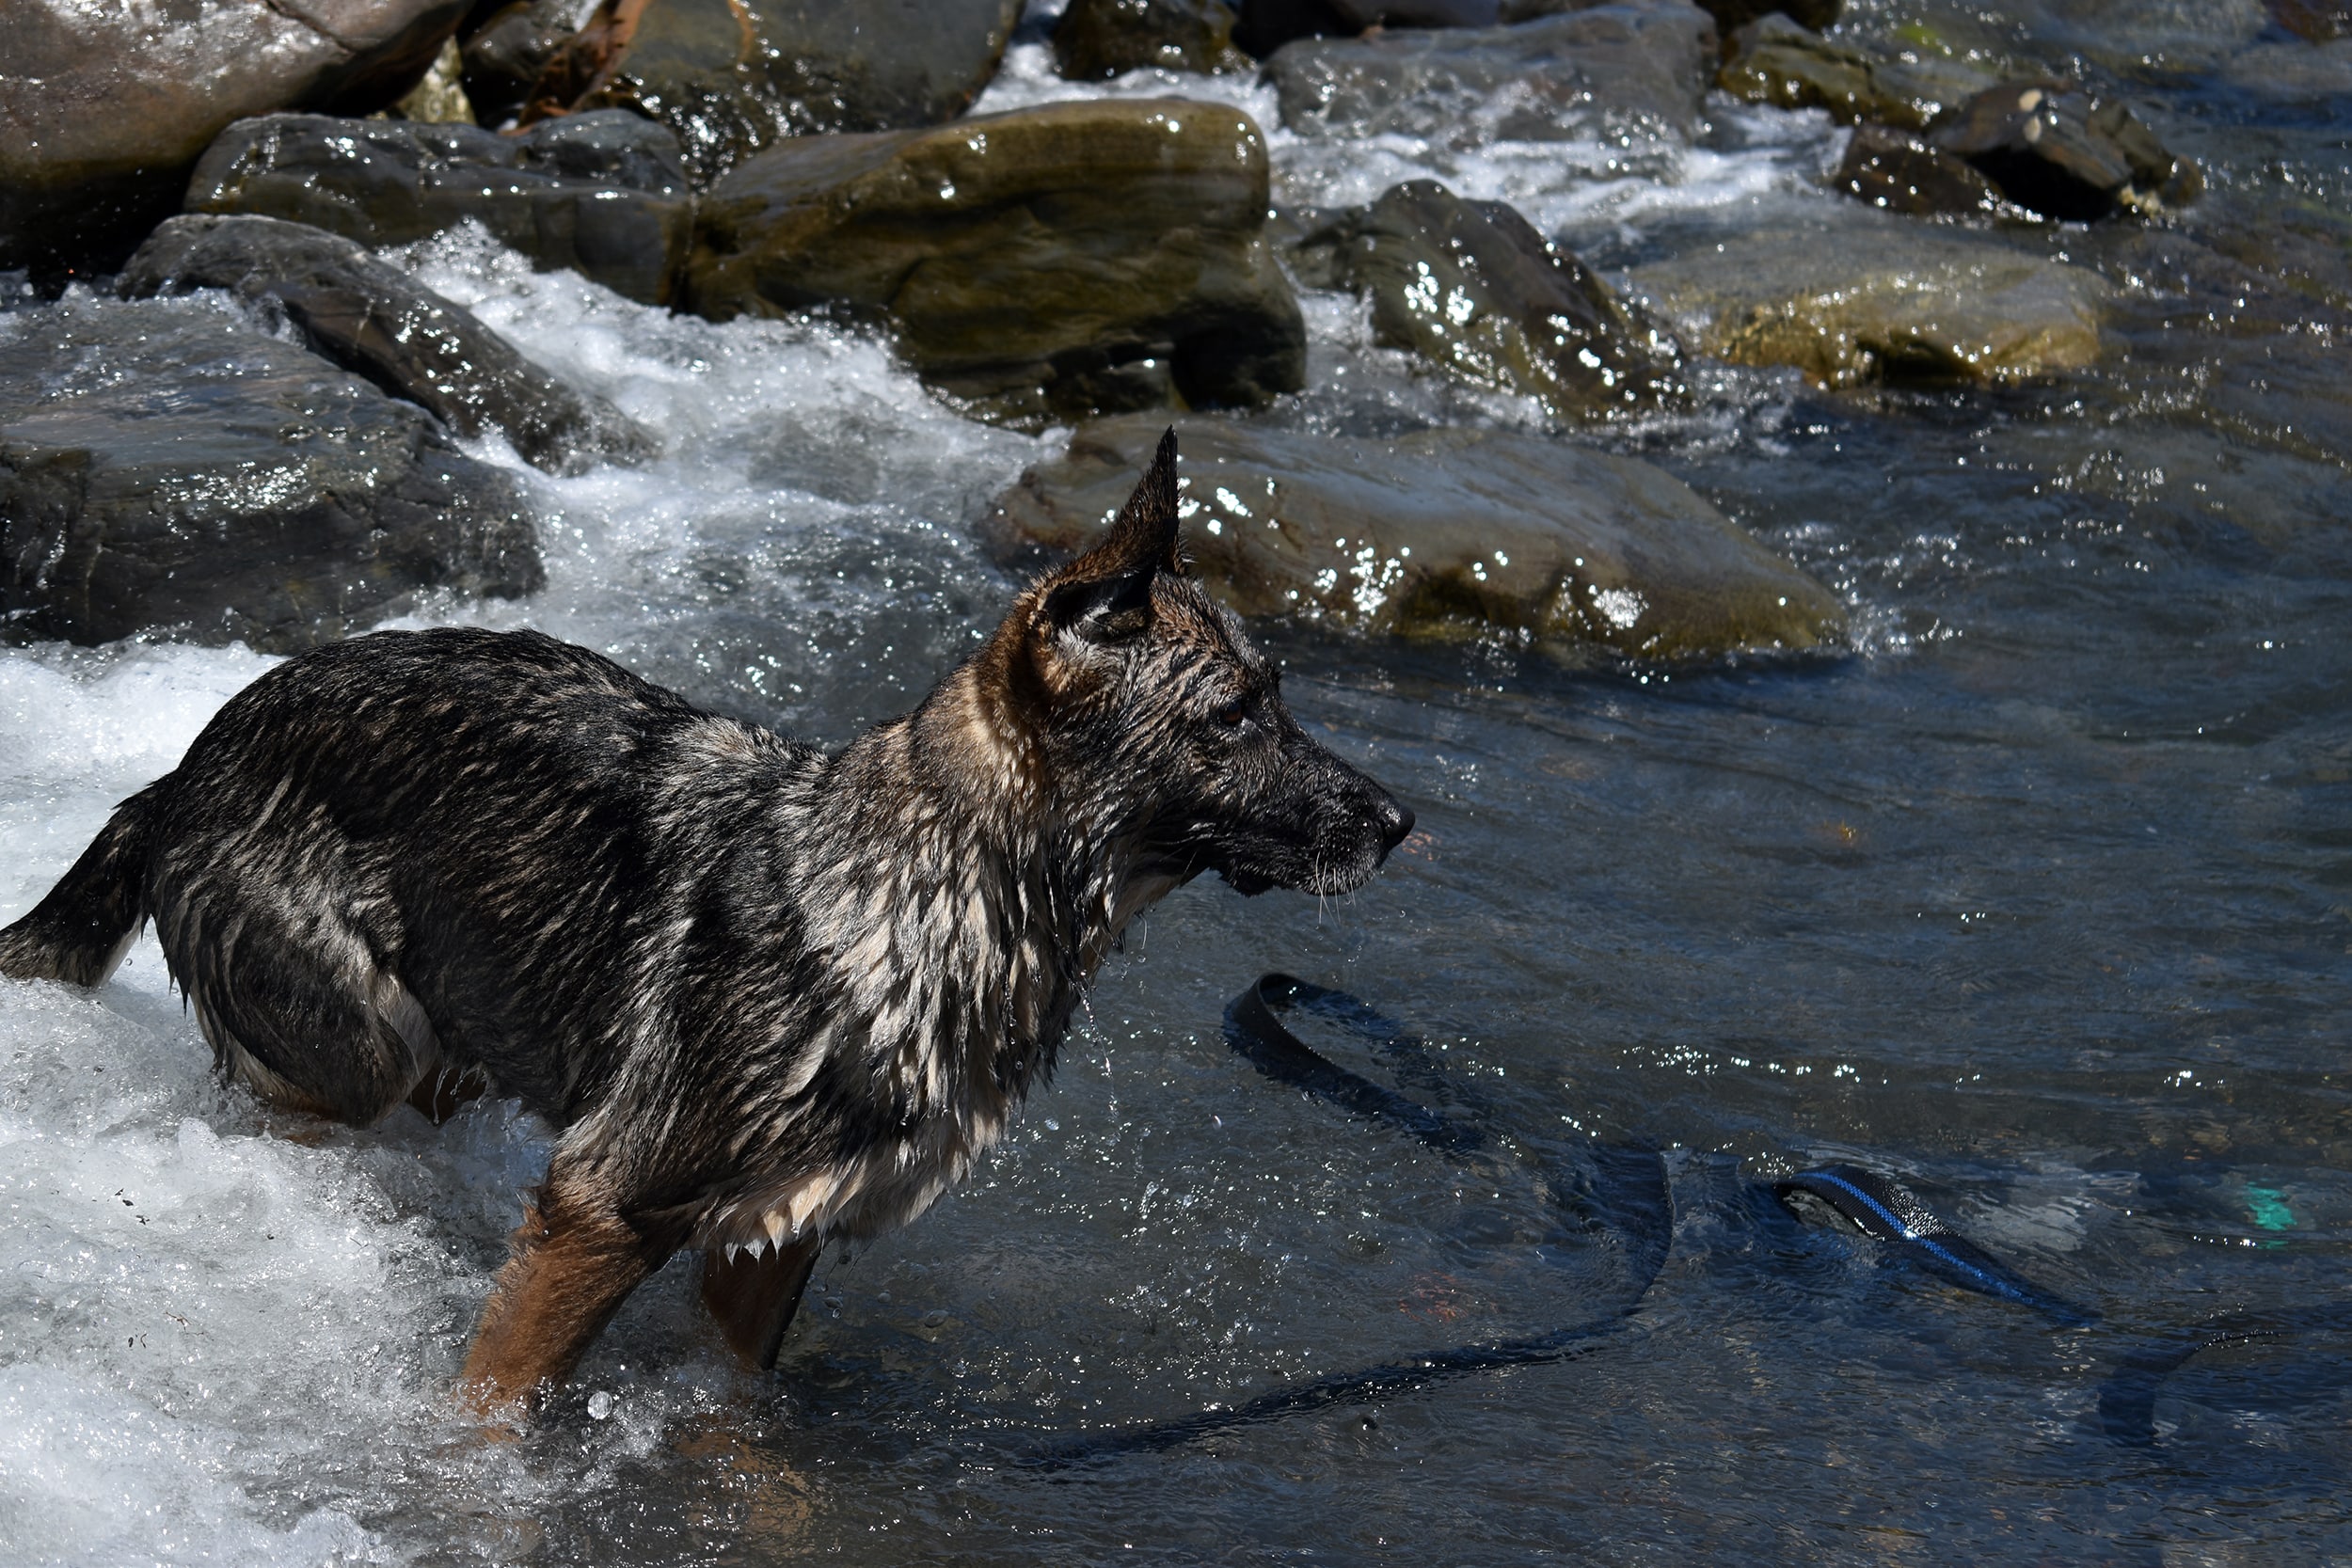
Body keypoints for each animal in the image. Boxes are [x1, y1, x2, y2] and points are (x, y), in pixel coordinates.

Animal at [0, 435, 1411, 1419]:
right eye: (1233, 714)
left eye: (1276, 697)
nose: (1399, 823)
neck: (920, 885)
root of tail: (186, 763)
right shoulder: (599, 1211)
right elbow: (490, 1413)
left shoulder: (770, 1241)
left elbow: (736, 1418)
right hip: (355, 1046)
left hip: (463, 1028)